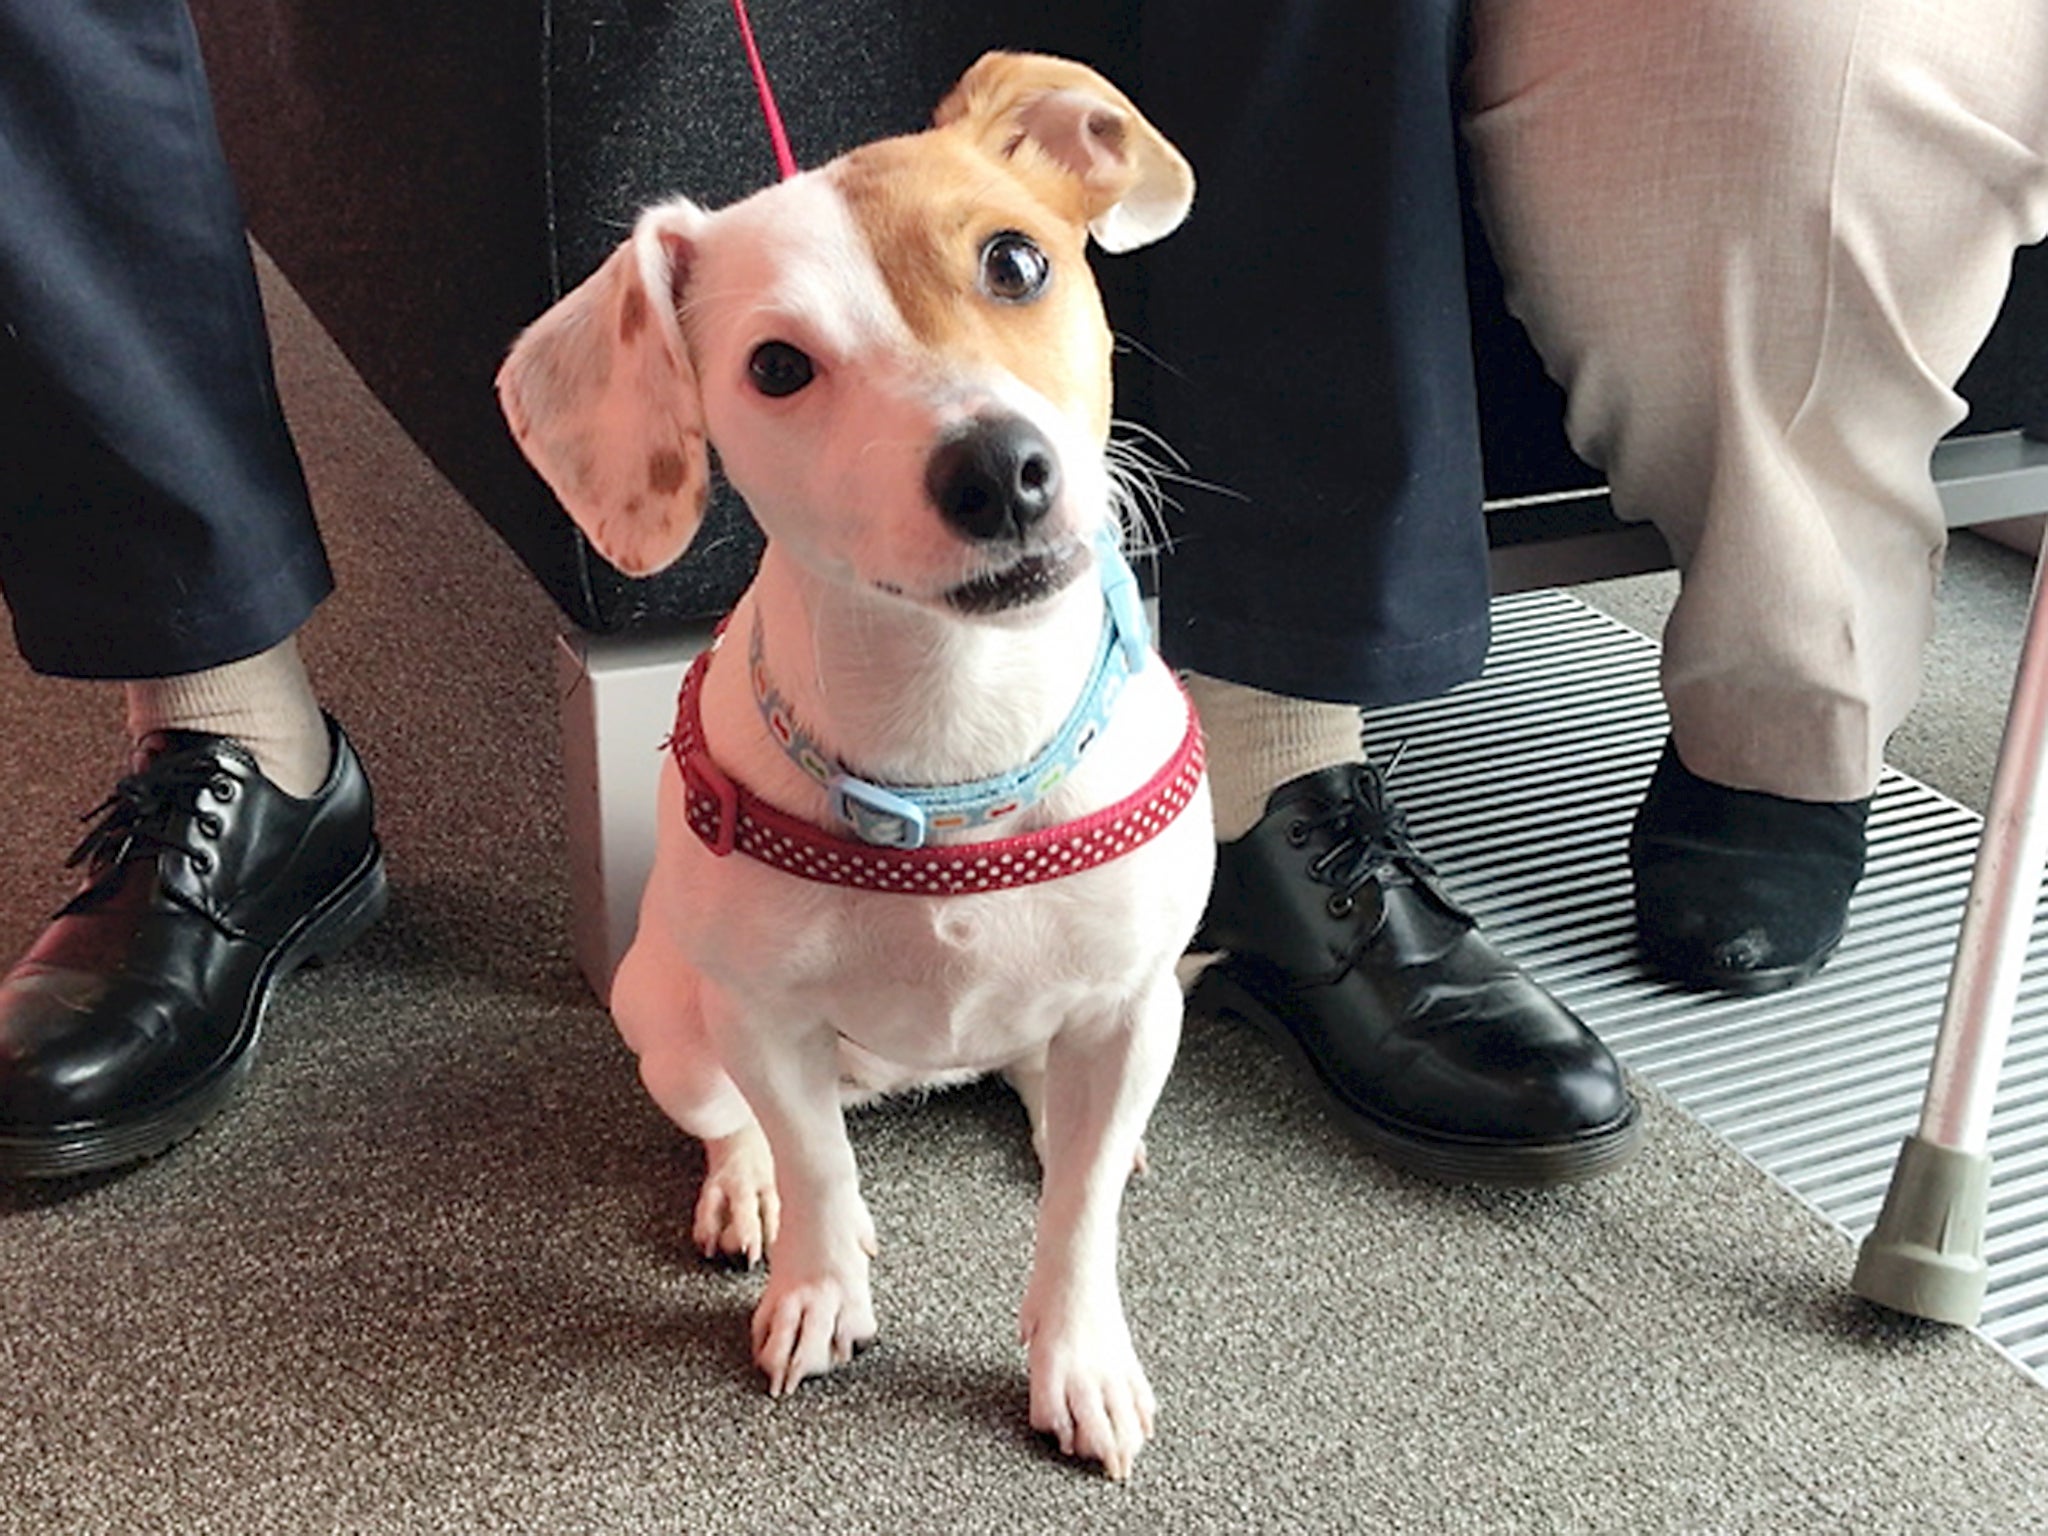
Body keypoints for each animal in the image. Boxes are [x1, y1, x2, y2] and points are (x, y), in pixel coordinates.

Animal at [493, 54, 1204, 1482]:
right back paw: (744, 1188)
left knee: (1061, 1110)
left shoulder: (1130, 1000)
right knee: (744, 1125)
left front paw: (1079, 1356)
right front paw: (820, 1287)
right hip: (665, 1019)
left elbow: (1077, 1222)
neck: (954, 734)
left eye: (1014, 260)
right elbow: (819, 1168)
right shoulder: (761, 1019)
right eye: (775, 366)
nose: (997, 470)